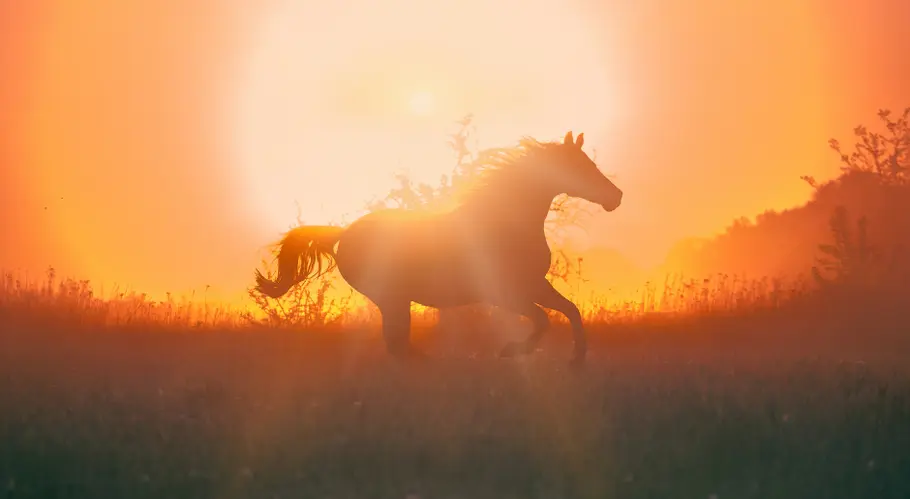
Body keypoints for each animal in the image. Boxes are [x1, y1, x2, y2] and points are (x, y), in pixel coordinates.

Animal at [254, 131, 623, 365]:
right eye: (581, 166)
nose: (615, 197)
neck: (506, 224)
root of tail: (345, 233)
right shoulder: (503, 293)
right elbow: (544, 320)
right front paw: (511, 350)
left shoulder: (533, 285)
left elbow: (570, 311)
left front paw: (577, 358)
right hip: (392, 298)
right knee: (397, 345)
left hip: (395, 301)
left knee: (398, 344)